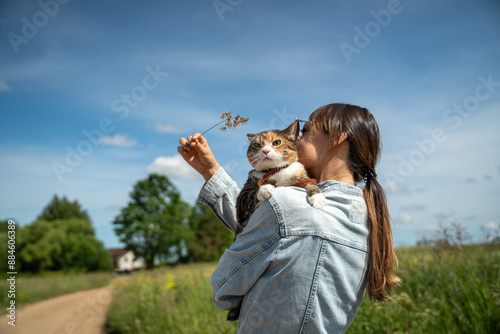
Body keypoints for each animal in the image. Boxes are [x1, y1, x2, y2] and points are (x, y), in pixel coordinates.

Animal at [228, 120, 328, 320]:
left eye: (276, 142)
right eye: (257, 145)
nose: (265, 150)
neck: (276, 174)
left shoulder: (301, 177)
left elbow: (310, 183)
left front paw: (317, 197)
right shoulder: (243, 200)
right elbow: (252, 193)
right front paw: (265, 189)